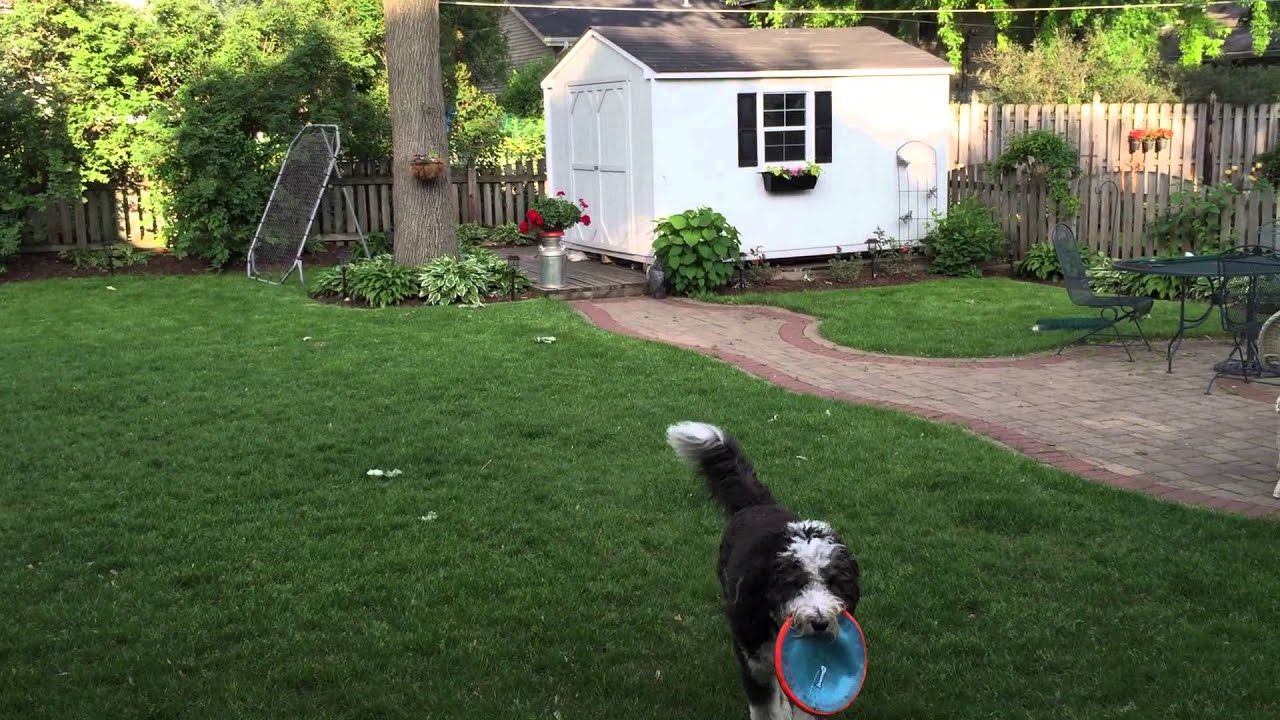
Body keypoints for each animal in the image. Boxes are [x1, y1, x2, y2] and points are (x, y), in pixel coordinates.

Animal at [665, 420, 865, 717]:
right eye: (794, 583)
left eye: (833, 582)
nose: (819, 623)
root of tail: (759, 505)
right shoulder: (754, 665)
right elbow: (763, 707)